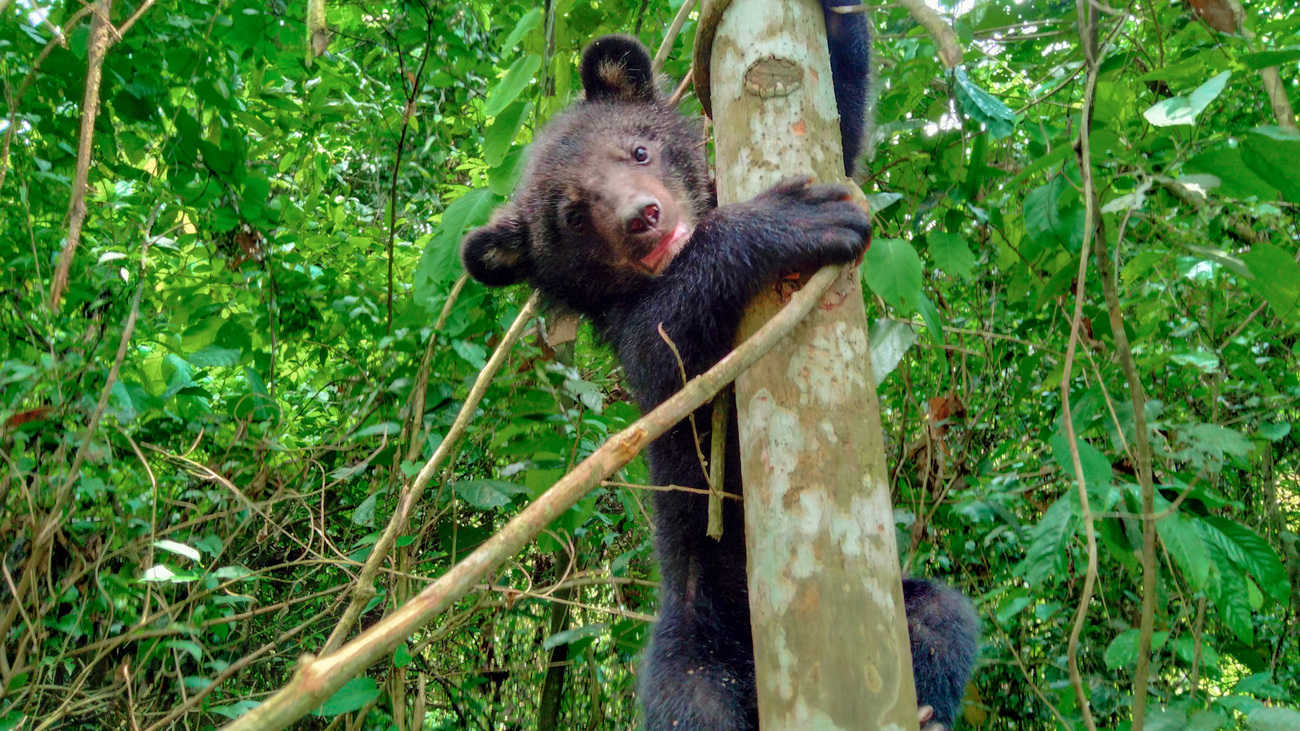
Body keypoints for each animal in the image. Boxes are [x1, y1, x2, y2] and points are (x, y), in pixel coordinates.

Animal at [460, 4, 977, 723]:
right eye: (574, 217)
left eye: (639, 151)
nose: (643, 218)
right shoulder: (638, 341)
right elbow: (663, 345)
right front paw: (790, 218)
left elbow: (844, 131)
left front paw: (838, 16)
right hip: (691, 642)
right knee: (694, 701)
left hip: (907, 610)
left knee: (941, 615)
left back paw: (927, 711)